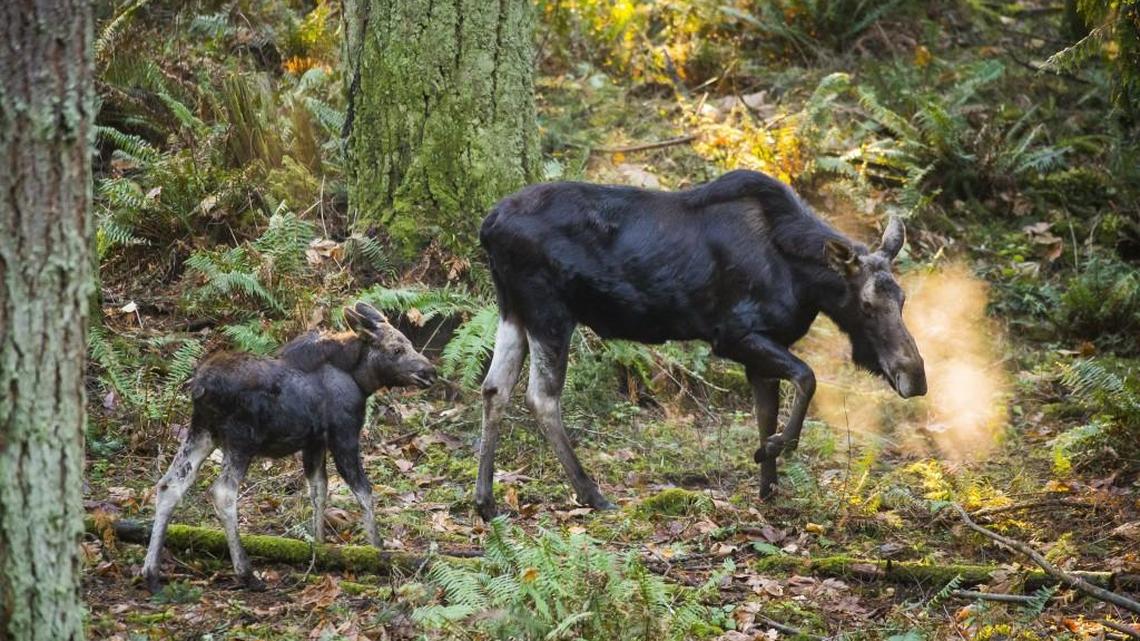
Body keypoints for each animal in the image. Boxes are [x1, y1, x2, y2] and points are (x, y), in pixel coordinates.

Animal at [473, 169, 927, 520]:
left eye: (904, 299)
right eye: (866, 304)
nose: (916, 377)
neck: (803, 281)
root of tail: (488, 226)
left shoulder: (760, 348)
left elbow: (767, 411)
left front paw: (769, 487)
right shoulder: (733, 336)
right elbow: (808, 378)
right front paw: (776, 448)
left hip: (512, 309)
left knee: (495, 388)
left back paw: (485, 501)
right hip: (549, 310)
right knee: (541, 397)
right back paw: (591, 494)